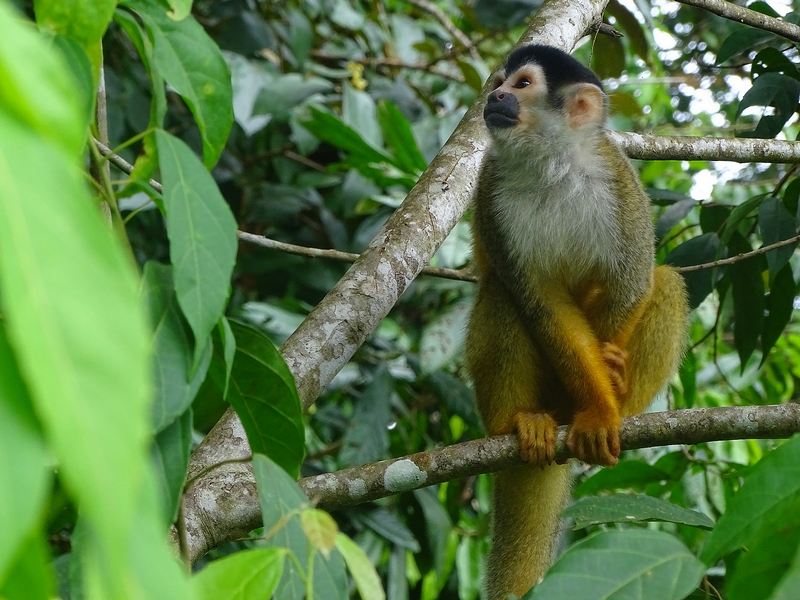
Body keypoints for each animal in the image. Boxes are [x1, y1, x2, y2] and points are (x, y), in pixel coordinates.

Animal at [464, 44, 689, 600]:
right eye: (500, 83)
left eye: (522, 85)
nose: (495, 97)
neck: (551, 162)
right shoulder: (491, 188)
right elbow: (539, 303)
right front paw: (598, 402)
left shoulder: (617, 178)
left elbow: (630, 281)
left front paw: (604, 398)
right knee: (501, 293)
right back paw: (520, 421)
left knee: (667, 281)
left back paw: (610, 402)